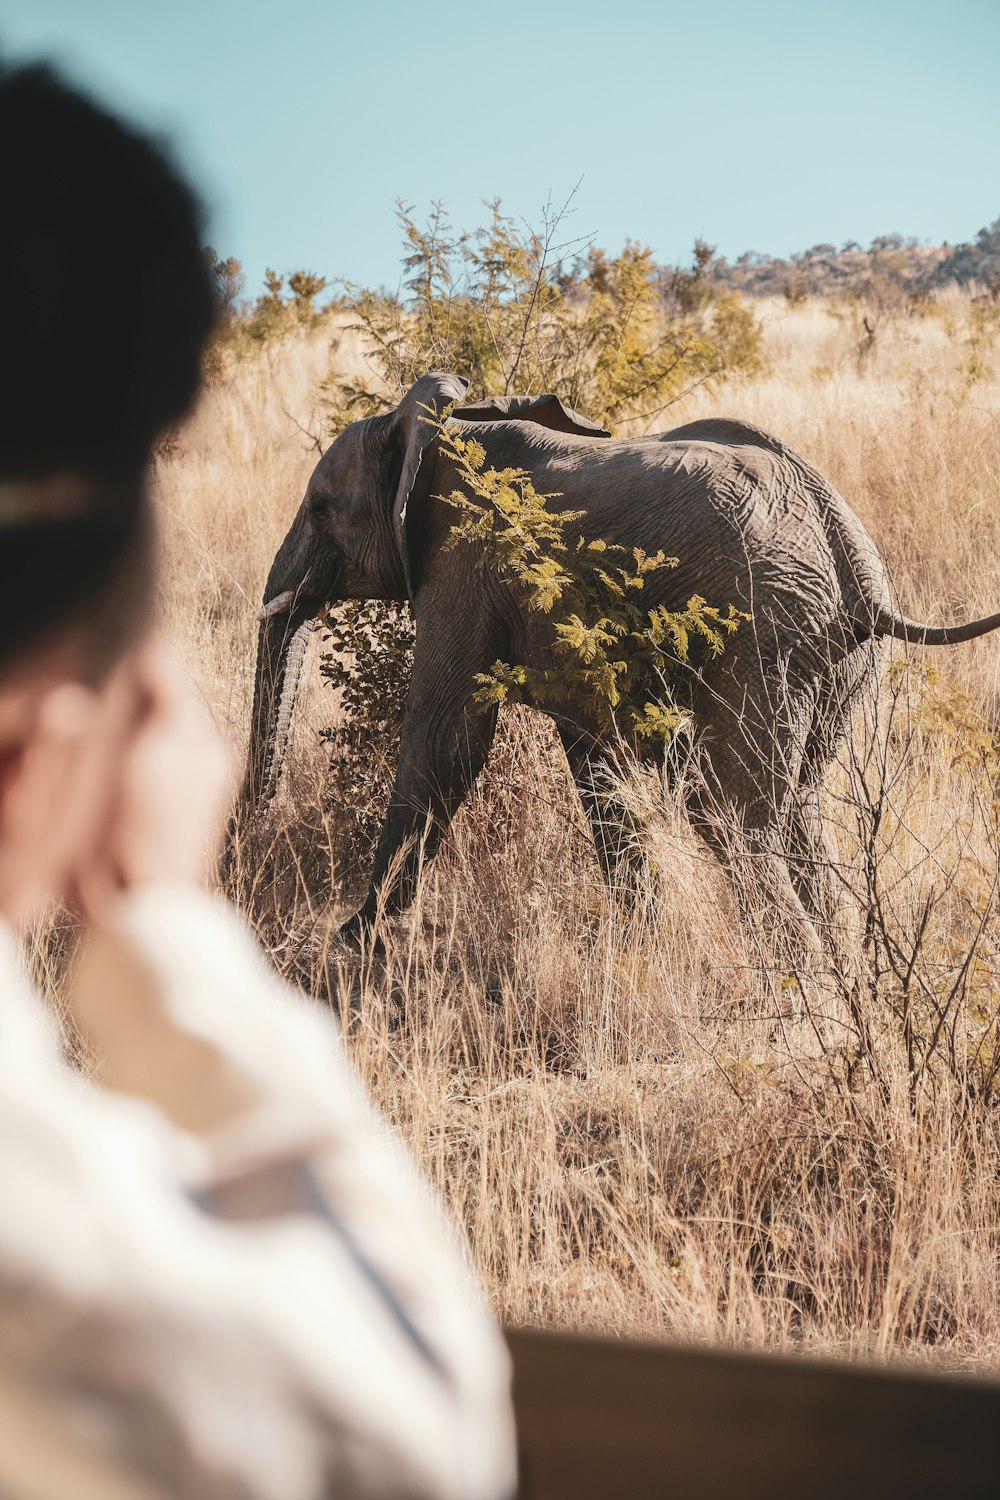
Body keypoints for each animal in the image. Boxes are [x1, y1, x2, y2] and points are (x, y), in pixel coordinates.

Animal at [245, 375, 1000, 960]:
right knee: (799, 805)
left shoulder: (464, 563)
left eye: (321, 511)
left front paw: (348, 941)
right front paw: (642, 937)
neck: (434, 431)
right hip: (830, 660)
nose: (243, 860)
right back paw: (843, 971)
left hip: (763, 638)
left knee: (732, 810)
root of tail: (853, 565)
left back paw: (800, 989)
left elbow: (446, 740)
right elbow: (589, 755)